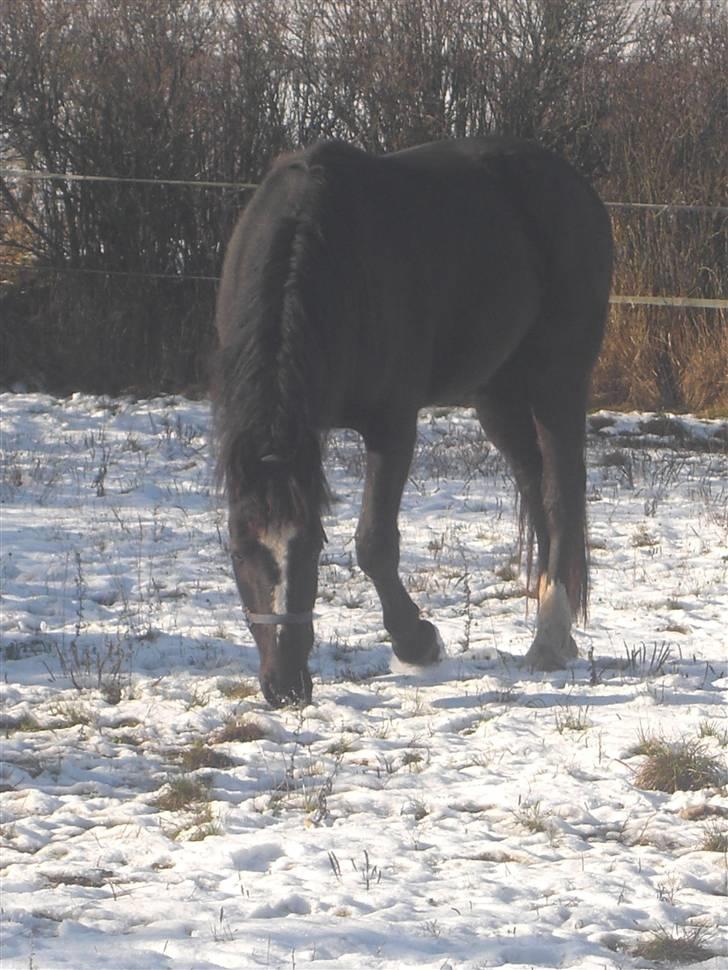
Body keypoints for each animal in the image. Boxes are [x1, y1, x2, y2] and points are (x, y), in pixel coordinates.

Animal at [212, 136, 616, 708]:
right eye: (240, 550)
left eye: (312, 546)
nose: (285, 688)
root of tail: (576, 188)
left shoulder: (392, 425)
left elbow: (374, 543)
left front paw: (417, 643)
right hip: (497, 395)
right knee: (535, 488)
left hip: (557, 378)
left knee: (562, 495)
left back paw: (549, 641)